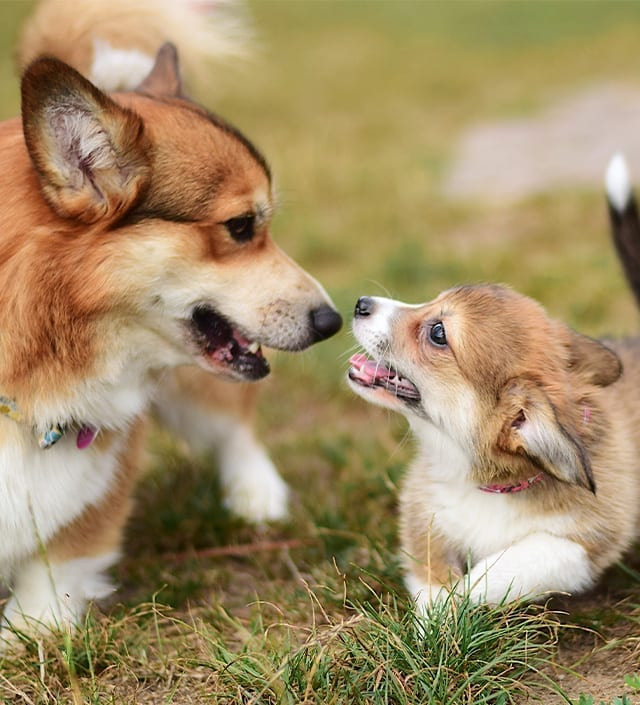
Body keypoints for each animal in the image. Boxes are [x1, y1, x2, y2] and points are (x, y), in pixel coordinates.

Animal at [1, 2, 340, 636]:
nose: (333, 321)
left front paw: (29, 629)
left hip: (196, 391)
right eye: (240, 227)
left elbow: (57, 563)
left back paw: (256, 494)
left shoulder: (99, 477)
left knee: (233, 426)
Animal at [348, 154, 640, 612]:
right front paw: (435, 618)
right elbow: (432, 579)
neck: (486, 485)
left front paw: (455, 610)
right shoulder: (422, 516)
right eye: (431, 301)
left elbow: (502, 567)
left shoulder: (582, 544)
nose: (360, 304)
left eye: (438, 333)